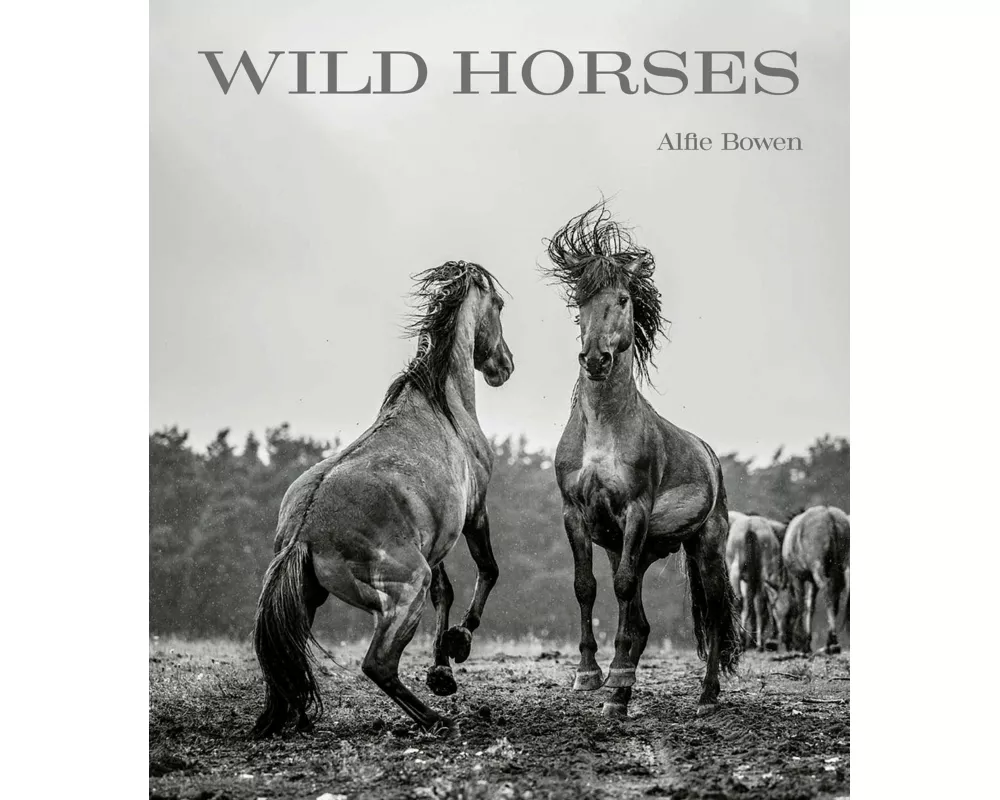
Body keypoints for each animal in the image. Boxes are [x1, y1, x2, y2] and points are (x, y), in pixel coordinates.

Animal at [251, 260, 514, 738]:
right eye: (499, 304)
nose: (504, 365)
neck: (443, 403)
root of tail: (305, 529)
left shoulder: (436, 538)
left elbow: (446, 593)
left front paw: (441, 672)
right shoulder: (474, 512)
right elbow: (488, 571)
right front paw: (459, 643)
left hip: (309, 599)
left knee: (286, 660)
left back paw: (294, 719)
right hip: (405, 589)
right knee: (378, 665)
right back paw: (437, 720)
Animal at [540, 202, 741, 720]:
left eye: (624, 299)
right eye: (580, 302)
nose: (595, 359)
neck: (603, 430)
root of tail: (711, 457)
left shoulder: (635, 511)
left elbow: (625, 590)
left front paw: (616, 685)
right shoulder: (575, 514)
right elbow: (586, 587)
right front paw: (591, 676)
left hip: (705, 545)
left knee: (713, 613)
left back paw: (707, 695)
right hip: (639, 545)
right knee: (642, 619)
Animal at [725, 511, 787, 651]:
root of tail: (750, 527)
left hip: (737, 569)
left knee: (741, 601)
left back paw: (744, 639)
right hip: (764, 570)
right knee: (758, 602)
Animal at [782, 505, 850, 654]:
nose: (786, 641)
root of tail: (830, 516)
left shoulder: (797, 577)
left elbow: (801, 606)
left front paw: (802, 641)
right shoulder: (813, 581)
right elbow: (810, 606)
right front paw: (806, 640)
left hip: (818, 568)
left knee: (828, 591)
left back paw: (831, 639)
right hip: (843, 566)